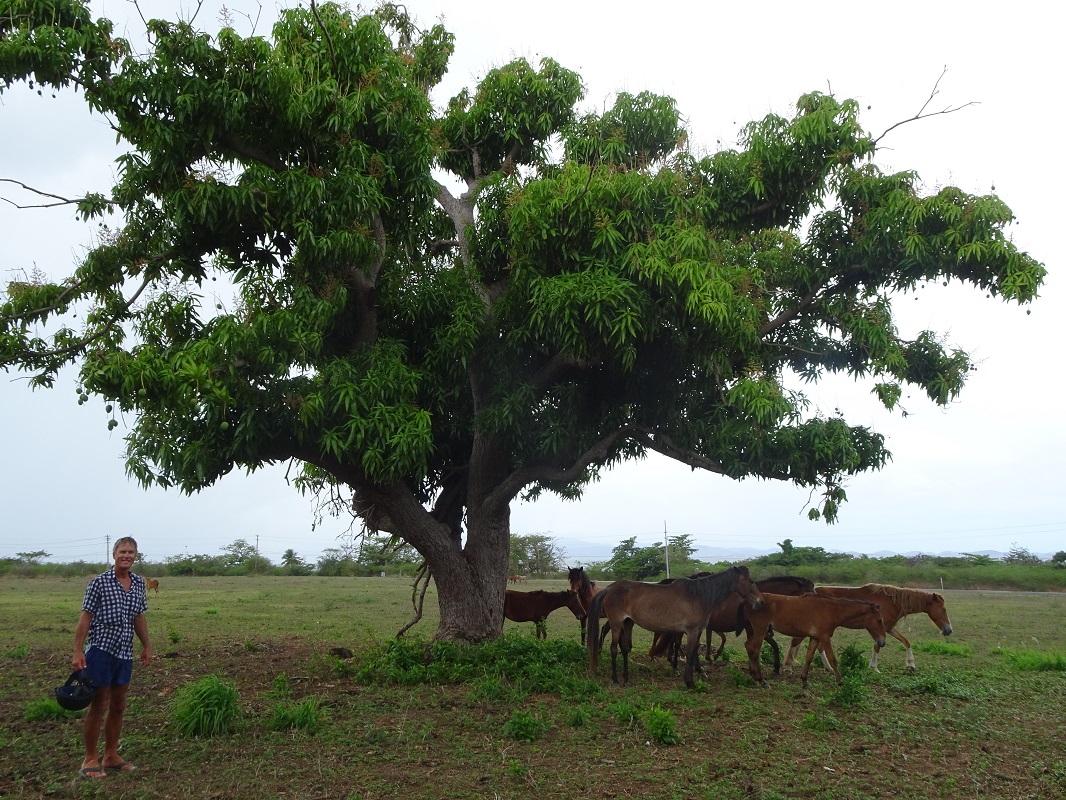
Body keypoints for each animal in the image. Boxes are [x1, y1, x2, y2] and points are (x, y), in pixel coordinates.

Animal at [587, 565, 764, 689]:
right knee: (613, 649)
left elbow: (692, 653)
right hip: (616, 624)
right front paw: (689, 682)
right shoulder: (692, 631)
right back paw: (616, 680)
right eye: (751, 581)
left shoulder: (697, 632)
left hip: (628, 623)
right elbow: (690, 653)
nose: (760, 602)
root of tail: (609, 588)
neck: (698, 596)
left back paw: (626, 678)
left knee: (624, 649)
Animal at [649, 574, 814, 672]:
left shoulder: (751, 629)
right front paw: (775, 667)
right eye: (810, 591)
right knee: (677, 642)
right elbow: (773, 645)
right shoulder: (756, 629)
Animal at [742, 592, 887, 687]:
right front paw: (839, 680)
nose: (882, 642)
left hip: (758, 632)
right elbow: (832, 659)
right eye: (879, 620)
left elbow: (809, 658)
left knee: (748, 646)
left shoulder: (815, 638)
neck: (831, 610)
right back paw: (762, 680)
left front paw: (805, 681)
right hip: (761, 631)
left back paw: (753, 675)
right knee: (756, 652)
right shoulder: (824, 637)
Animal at [782, 583, 953, 673]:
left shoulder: (888, 628)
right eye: (943, 609)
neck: (892, 601)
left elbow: (906, 641)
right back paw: (790, 666)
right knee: (797, 642)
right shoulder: (875, 629)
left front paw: (911, 664)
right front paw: (874, 667)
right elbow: (878, 646)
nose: (949, 630)